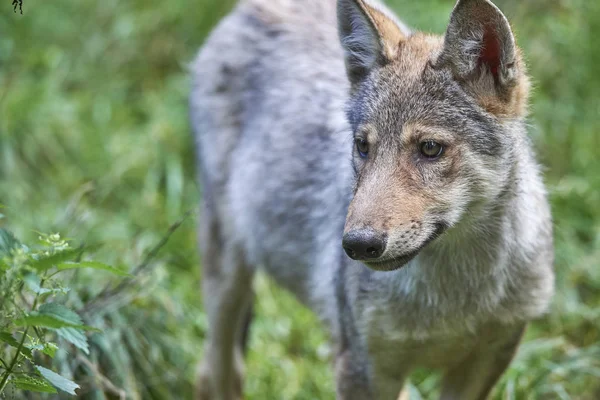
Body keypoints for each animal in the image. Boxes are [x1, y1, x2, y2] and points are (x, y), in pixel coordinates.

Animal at [190, 0, 556, 398]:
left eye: (430, 149)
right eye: (362, 146)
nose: (357, 245)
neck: (456, 299)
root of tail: (251, 7)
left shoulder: (487, 361)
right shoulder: (361, 367)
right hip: (227, 280)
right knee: (215, 372)